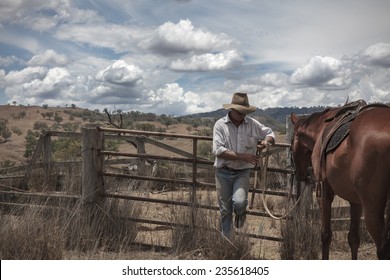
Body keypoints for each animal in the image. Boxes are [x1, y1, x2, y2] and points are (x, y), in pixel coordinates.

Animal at [290, 101, 388, 260]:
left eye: (291, 143)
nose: (300, 175)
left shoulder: (324, 194)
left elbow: (325, 235)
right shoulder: (355, 201)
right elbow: (354, 238)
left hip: (373, 208)